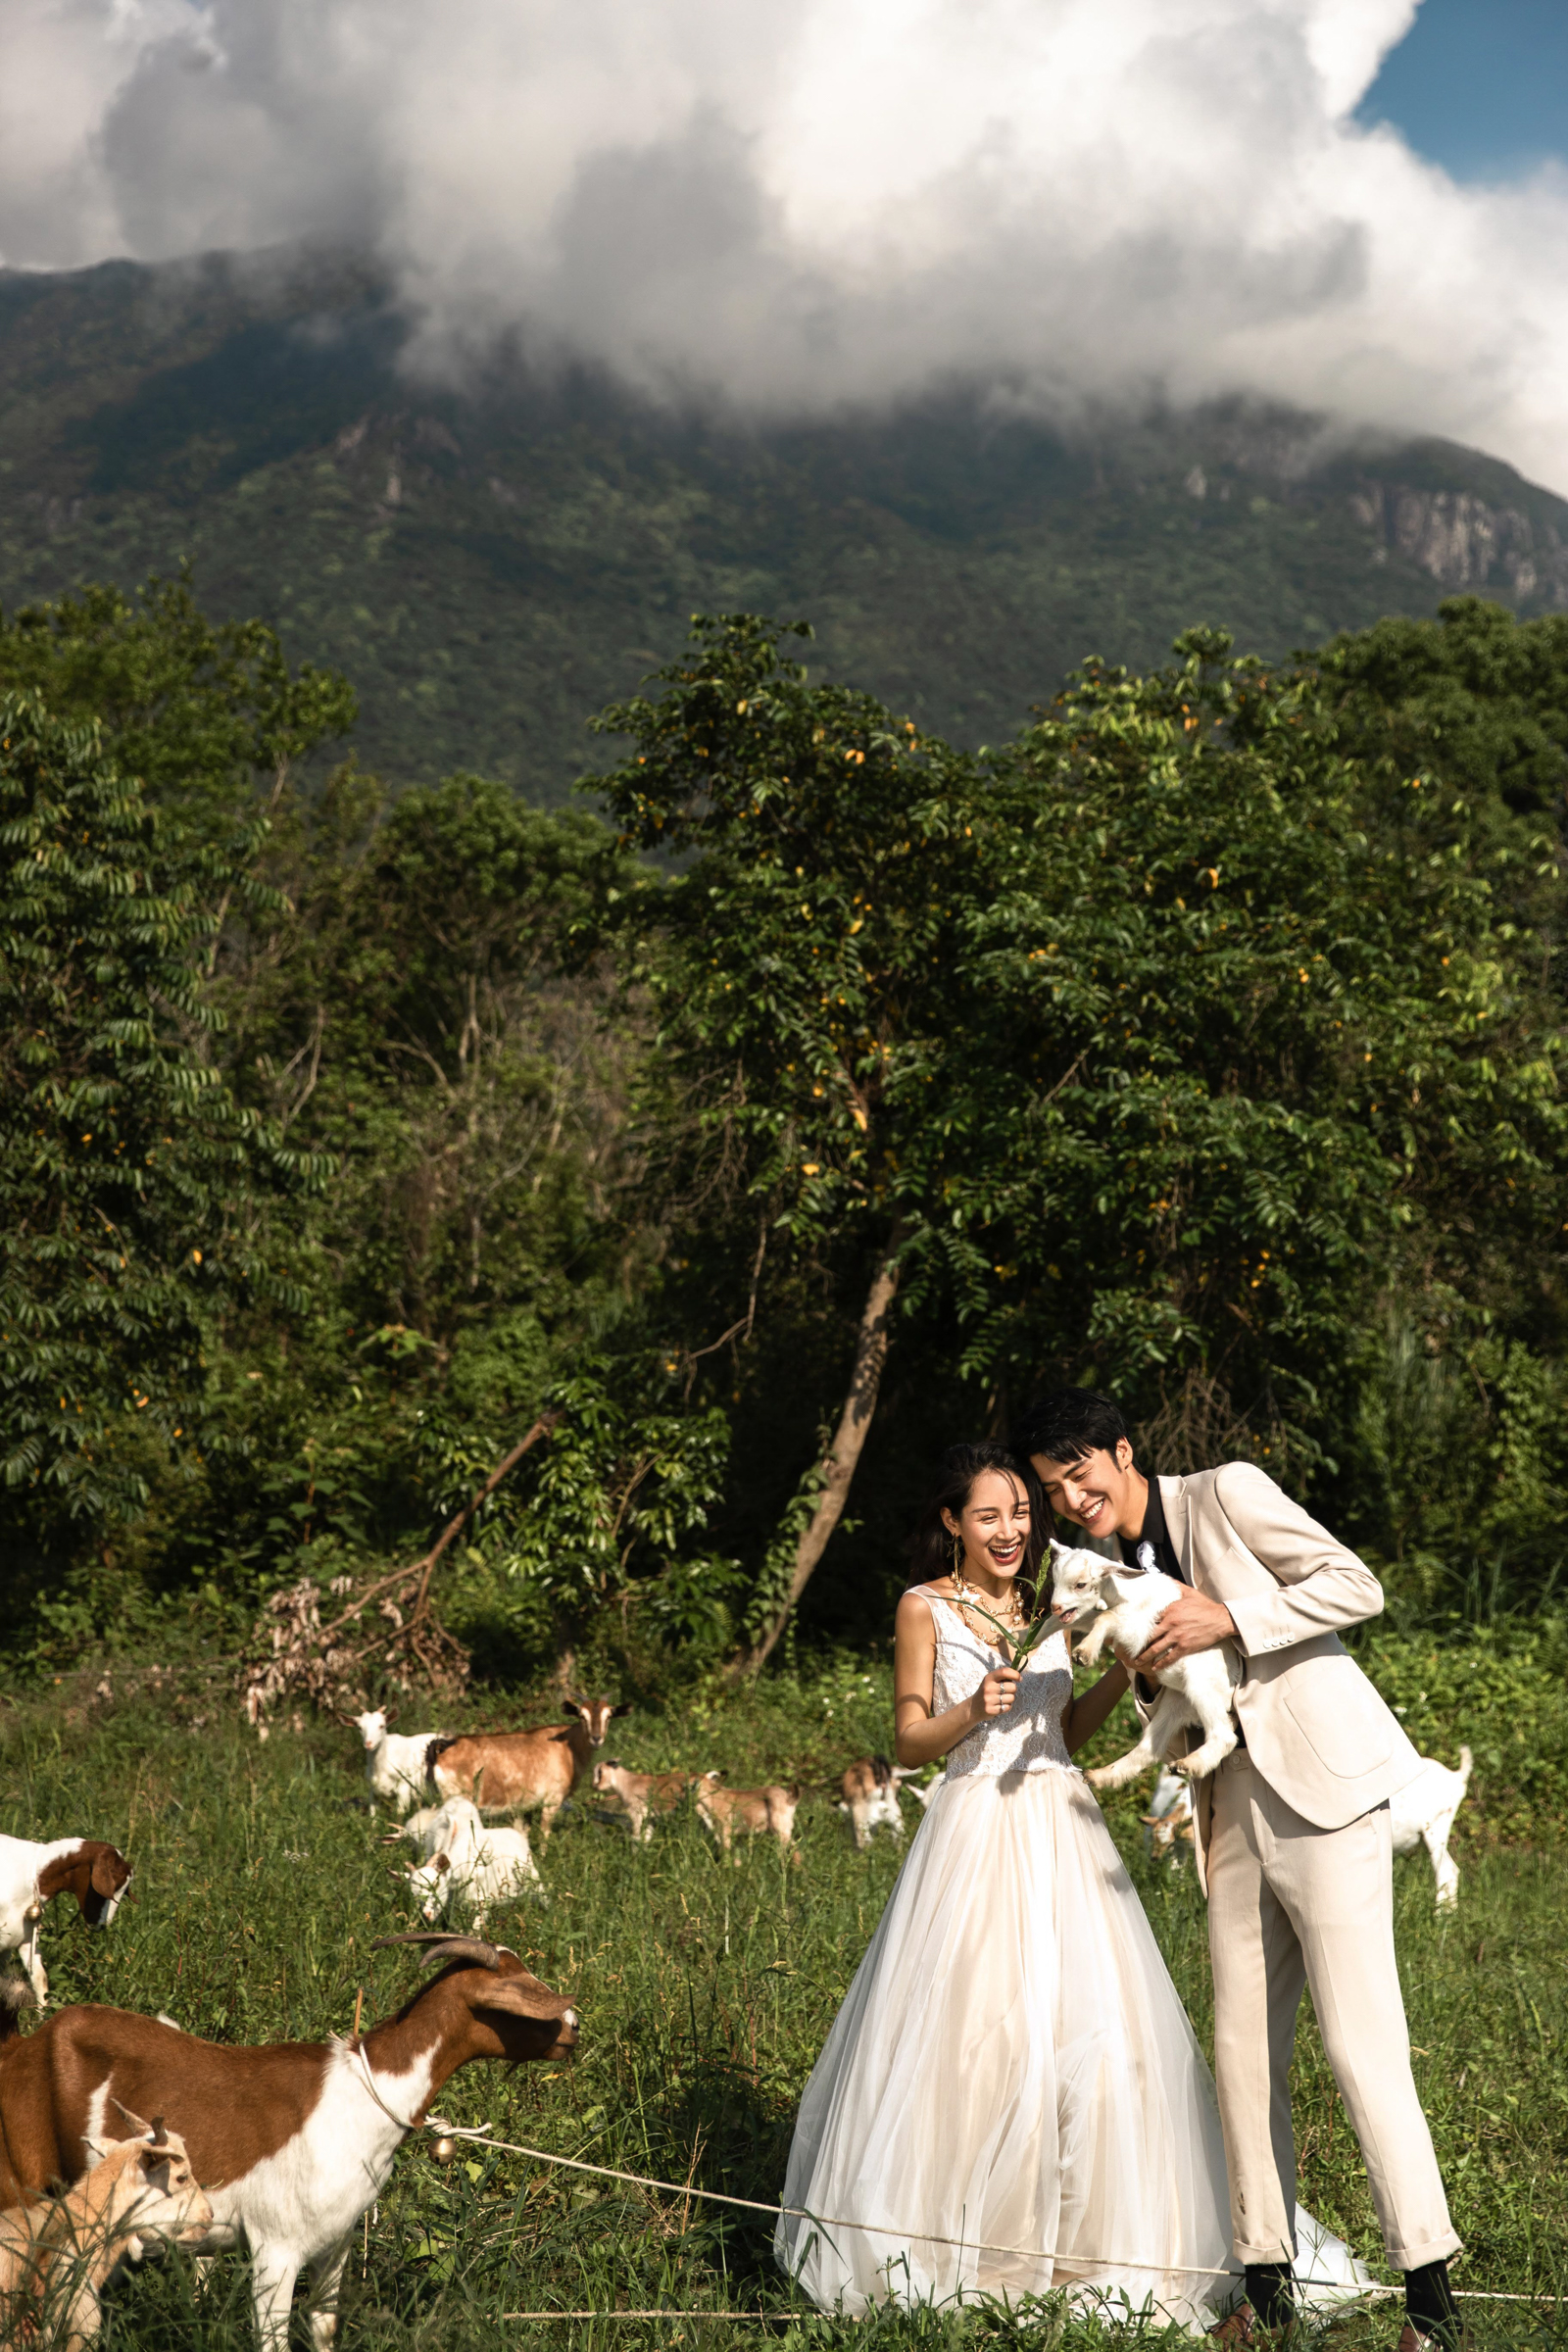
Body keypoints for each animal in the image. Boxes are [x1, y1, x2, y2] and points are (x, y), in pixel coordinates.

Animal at [427, 1693, 625, 1842]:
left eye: (608, 1716)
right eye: (582, 1716)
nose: (596, 1738)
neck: (568, 1747)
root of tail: (442, 1750)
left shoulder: (527, 1808)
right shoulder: (551, 1801)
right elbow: (544, 1834)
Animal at [1048, 1542, 1242, 1789]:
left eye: (1080, 1584)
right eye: (1054, 1580)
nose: (1055, 1606)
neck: (1129, 1591)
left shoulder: (1141, 1633)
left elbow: (1105, 1618)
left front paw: (1084, 1653)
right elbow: (1066, 1621)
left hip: (1202, 1685)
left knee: (1224, 1736)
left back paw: (1189, 1764)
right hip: (1177, 1700)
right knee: (1151, 1747)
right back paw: (1102, 1776)